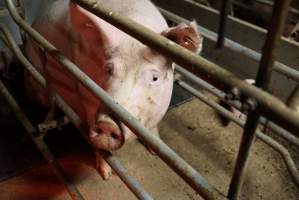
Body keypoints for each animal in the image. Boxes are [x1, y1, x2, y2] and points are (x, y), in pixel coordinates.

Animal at [24, 0, 203, 179]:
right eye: (108, 69)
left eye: (154, 78)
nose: (108, 124)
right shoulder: (85, 90)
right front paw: (106, 175)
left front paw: (155, 151)